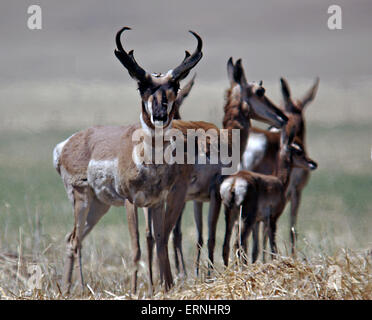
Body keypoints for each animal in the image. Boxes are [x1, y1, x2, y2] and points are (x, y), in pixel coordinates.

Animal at [52, 26, 202, 292]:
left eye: (174, 86)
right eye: (142, 86)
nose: (160, 115)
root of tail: (67, 144)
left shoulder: (157, 203)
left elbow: (160, 242)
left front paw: (165, 287)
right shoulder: (131, 202)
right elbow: (136, 249)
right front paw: (135, 290)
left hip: (98, 206)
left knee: (73, 239)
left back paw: (69, 289)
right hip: (81, 200)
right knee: (75, 241)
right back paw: (78, 287)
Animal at [170, 57, 290, 276]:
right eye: (260, 91)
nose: (283, 117)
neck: (226, 140)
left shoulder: (197, 199)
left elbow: (200, 238)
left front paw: (199, 275)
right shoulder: (215, 197)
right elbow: (213, 238)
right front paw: (210, 276)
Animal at [219, 121, 318, 266]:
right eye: (299, 151)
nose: (313, 163)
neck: (278, 181)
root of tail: (234, 183)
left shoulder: (258, 222)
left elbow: (258, 247)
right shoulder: (272, 219)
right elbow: (273, 246)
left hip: (231, 217)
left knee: (226, 245)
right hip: (246, 220)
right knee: (238, 244)